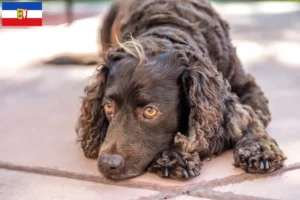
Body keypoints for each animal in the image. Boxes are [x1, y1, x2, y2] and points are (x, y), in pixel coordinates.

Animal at [51, 0, 286, 181]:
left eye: (150, 111)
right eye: (108, 106)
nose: (108, 163)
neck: (169, 27)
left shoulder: (248, 89)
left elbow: (251, 117)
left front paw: (259, 149)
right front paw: (175, 156)